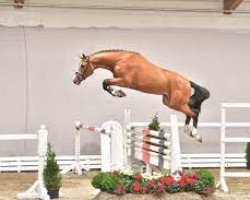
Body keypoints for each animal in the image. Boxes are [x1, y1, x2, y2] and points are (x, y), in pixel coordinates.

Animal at [73, 49, 210, 142]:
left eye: (83, 66)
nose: (75, 81)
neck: (120, 60)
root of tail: (188, 82)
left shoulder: (124, 81)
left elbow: (105, 82)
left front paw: (119, 93)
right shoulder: (118, 79)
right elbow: (105, 84)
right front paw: (119, 93)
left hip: (176, 103)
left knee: (194, 113)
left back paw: (196, 134)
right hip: (170, 102)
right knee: (190, 113)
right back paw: (188, 131)